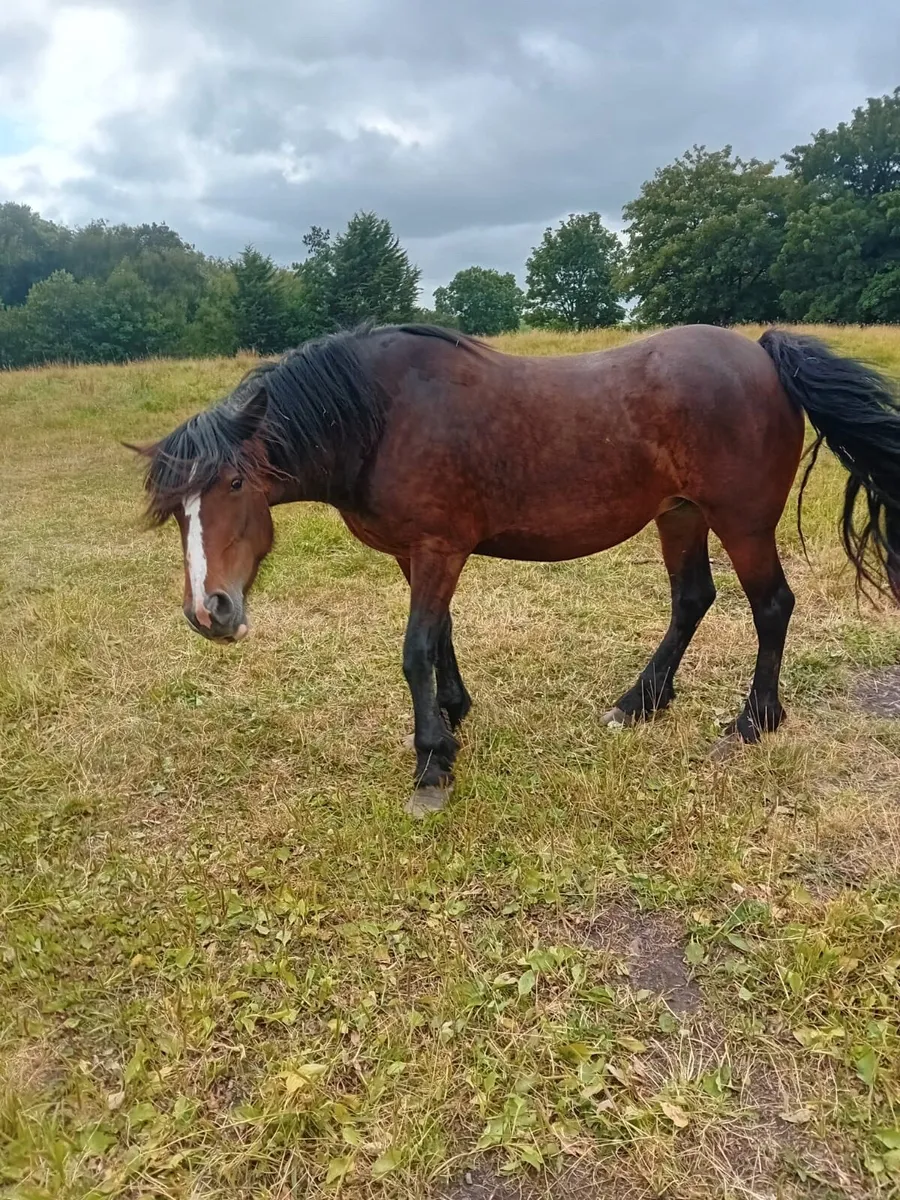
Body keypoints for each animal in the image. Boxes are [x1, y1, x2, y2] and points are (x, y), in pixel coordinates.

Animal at [133, 324, 900, 816]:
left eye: (235, 484)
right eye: (174, 511)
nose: (210, 612)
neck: (381, 416)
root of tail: (763, 355)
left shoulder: (438, 547)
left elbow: (415, 649)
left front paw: (431, 763)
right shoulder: (419, 554)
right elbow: (440, 636)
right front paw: (453, 713)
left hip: (741, 523)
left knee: (771, 605)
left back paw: (754, 720)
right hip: (680, 514)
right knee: (691, 600)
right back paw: (638, 703)